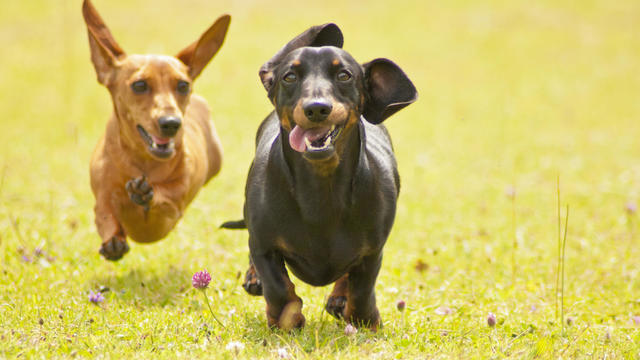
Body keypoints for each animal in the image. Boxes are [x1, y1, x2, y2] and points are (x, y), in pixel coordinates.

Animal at [84, 0, 230, 258]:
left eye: (183, 85)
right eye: (140, 85)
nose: (171, 123)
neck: (144, 163)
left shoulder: (171, 212)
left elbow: (163, 199)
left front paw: (145, 194)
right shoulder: (102, 200)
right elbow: (106, 215)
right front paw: (113, 240)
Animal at [222, 23, 418, 330]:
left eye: (344, 75)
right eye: (289, 76)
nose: (317, 108)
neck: (320, 190)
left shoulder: (372, 251)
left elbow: (361, 288)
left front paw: (364, 320)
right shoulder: (263, 245)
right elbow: (278, 288)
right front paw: (287, 320)